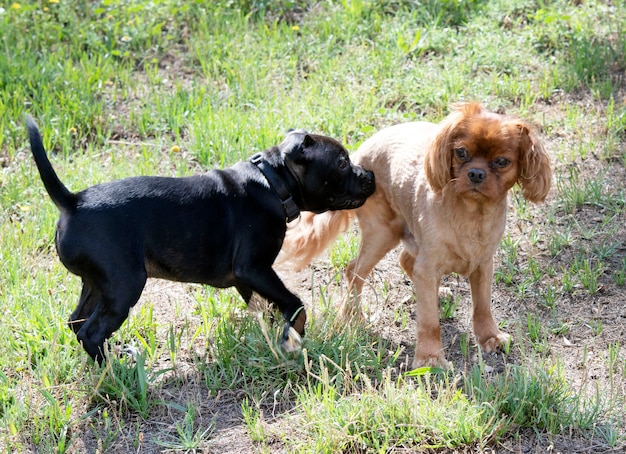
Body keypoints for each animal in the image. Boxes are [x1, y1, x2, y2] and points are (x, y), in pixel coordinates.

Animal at [26, 119, 372, 362]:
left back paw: (115, 358)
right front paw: (293, 340)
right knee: (91, 331)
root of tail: (73, 202)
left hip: (98, 283)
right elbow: (294, 303)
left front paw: (275, 338)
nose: (369, 175)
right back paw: (117, 370)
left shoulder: (249, 278)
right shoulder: (254, 268)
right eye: (342, 163)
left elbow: (269, 309)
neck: (273, 182)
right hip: (124, 285)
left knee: (76, 322)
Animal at [280, 103, 552, 368]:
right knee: (354, 270)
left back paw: (436, 293)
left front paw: (490, 337)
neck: (473, 212)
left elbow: (483, 306)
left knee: (405, 262)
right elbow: (429, 321)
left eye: (502, 161)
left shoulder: (484, 265)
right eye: (461, 153)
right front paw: (430, 357)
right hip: (384, 232)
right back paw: (352, 316)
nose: (475, 173)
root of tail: (358, 155)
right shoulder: (428, 266)